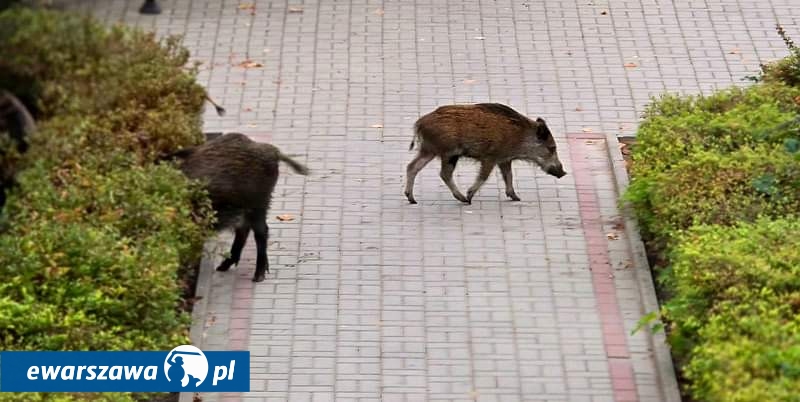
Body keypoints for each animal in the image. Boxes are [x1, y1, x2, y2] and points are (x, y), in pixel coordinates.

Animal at [168, 133, 309, 282]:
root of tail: (272, 150)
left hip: (259, 202)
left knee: (261, 232)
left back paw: (258, 276)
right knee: (244, 231)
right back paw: (222, 267)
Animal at [404, 103, 566, 204]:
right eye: (552, 148)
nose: (563, 173)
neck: (519, 136)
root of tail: (419, 123)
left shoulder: (504, 159)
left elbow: (509, 176)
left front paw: (516, 197)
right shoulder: (490, 157)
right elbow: (484, 176)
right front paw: (470, 195)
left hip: (429, 150)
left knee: (412, 166)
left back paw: (412, 199)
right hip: (449, 153)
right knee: (444, 174)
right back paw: (465, 199)